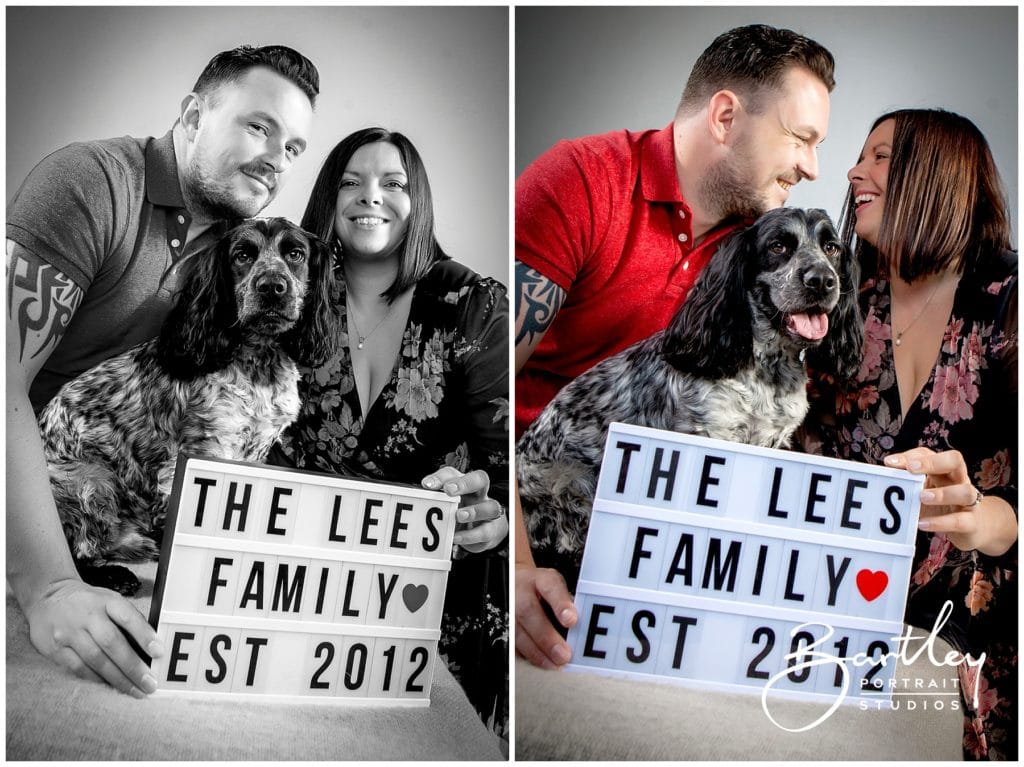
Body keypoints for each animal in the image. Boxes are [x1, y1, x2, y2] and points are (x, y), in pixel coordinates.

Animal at [39, 218, 337, 593]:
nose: (272, 287)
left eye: (295, 254)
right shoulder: (201, 451)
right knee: (76, 550)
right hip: (94, 479)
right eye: (242, 255)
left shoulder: (255, 452)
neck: (260, 361)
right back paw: (117, 573)